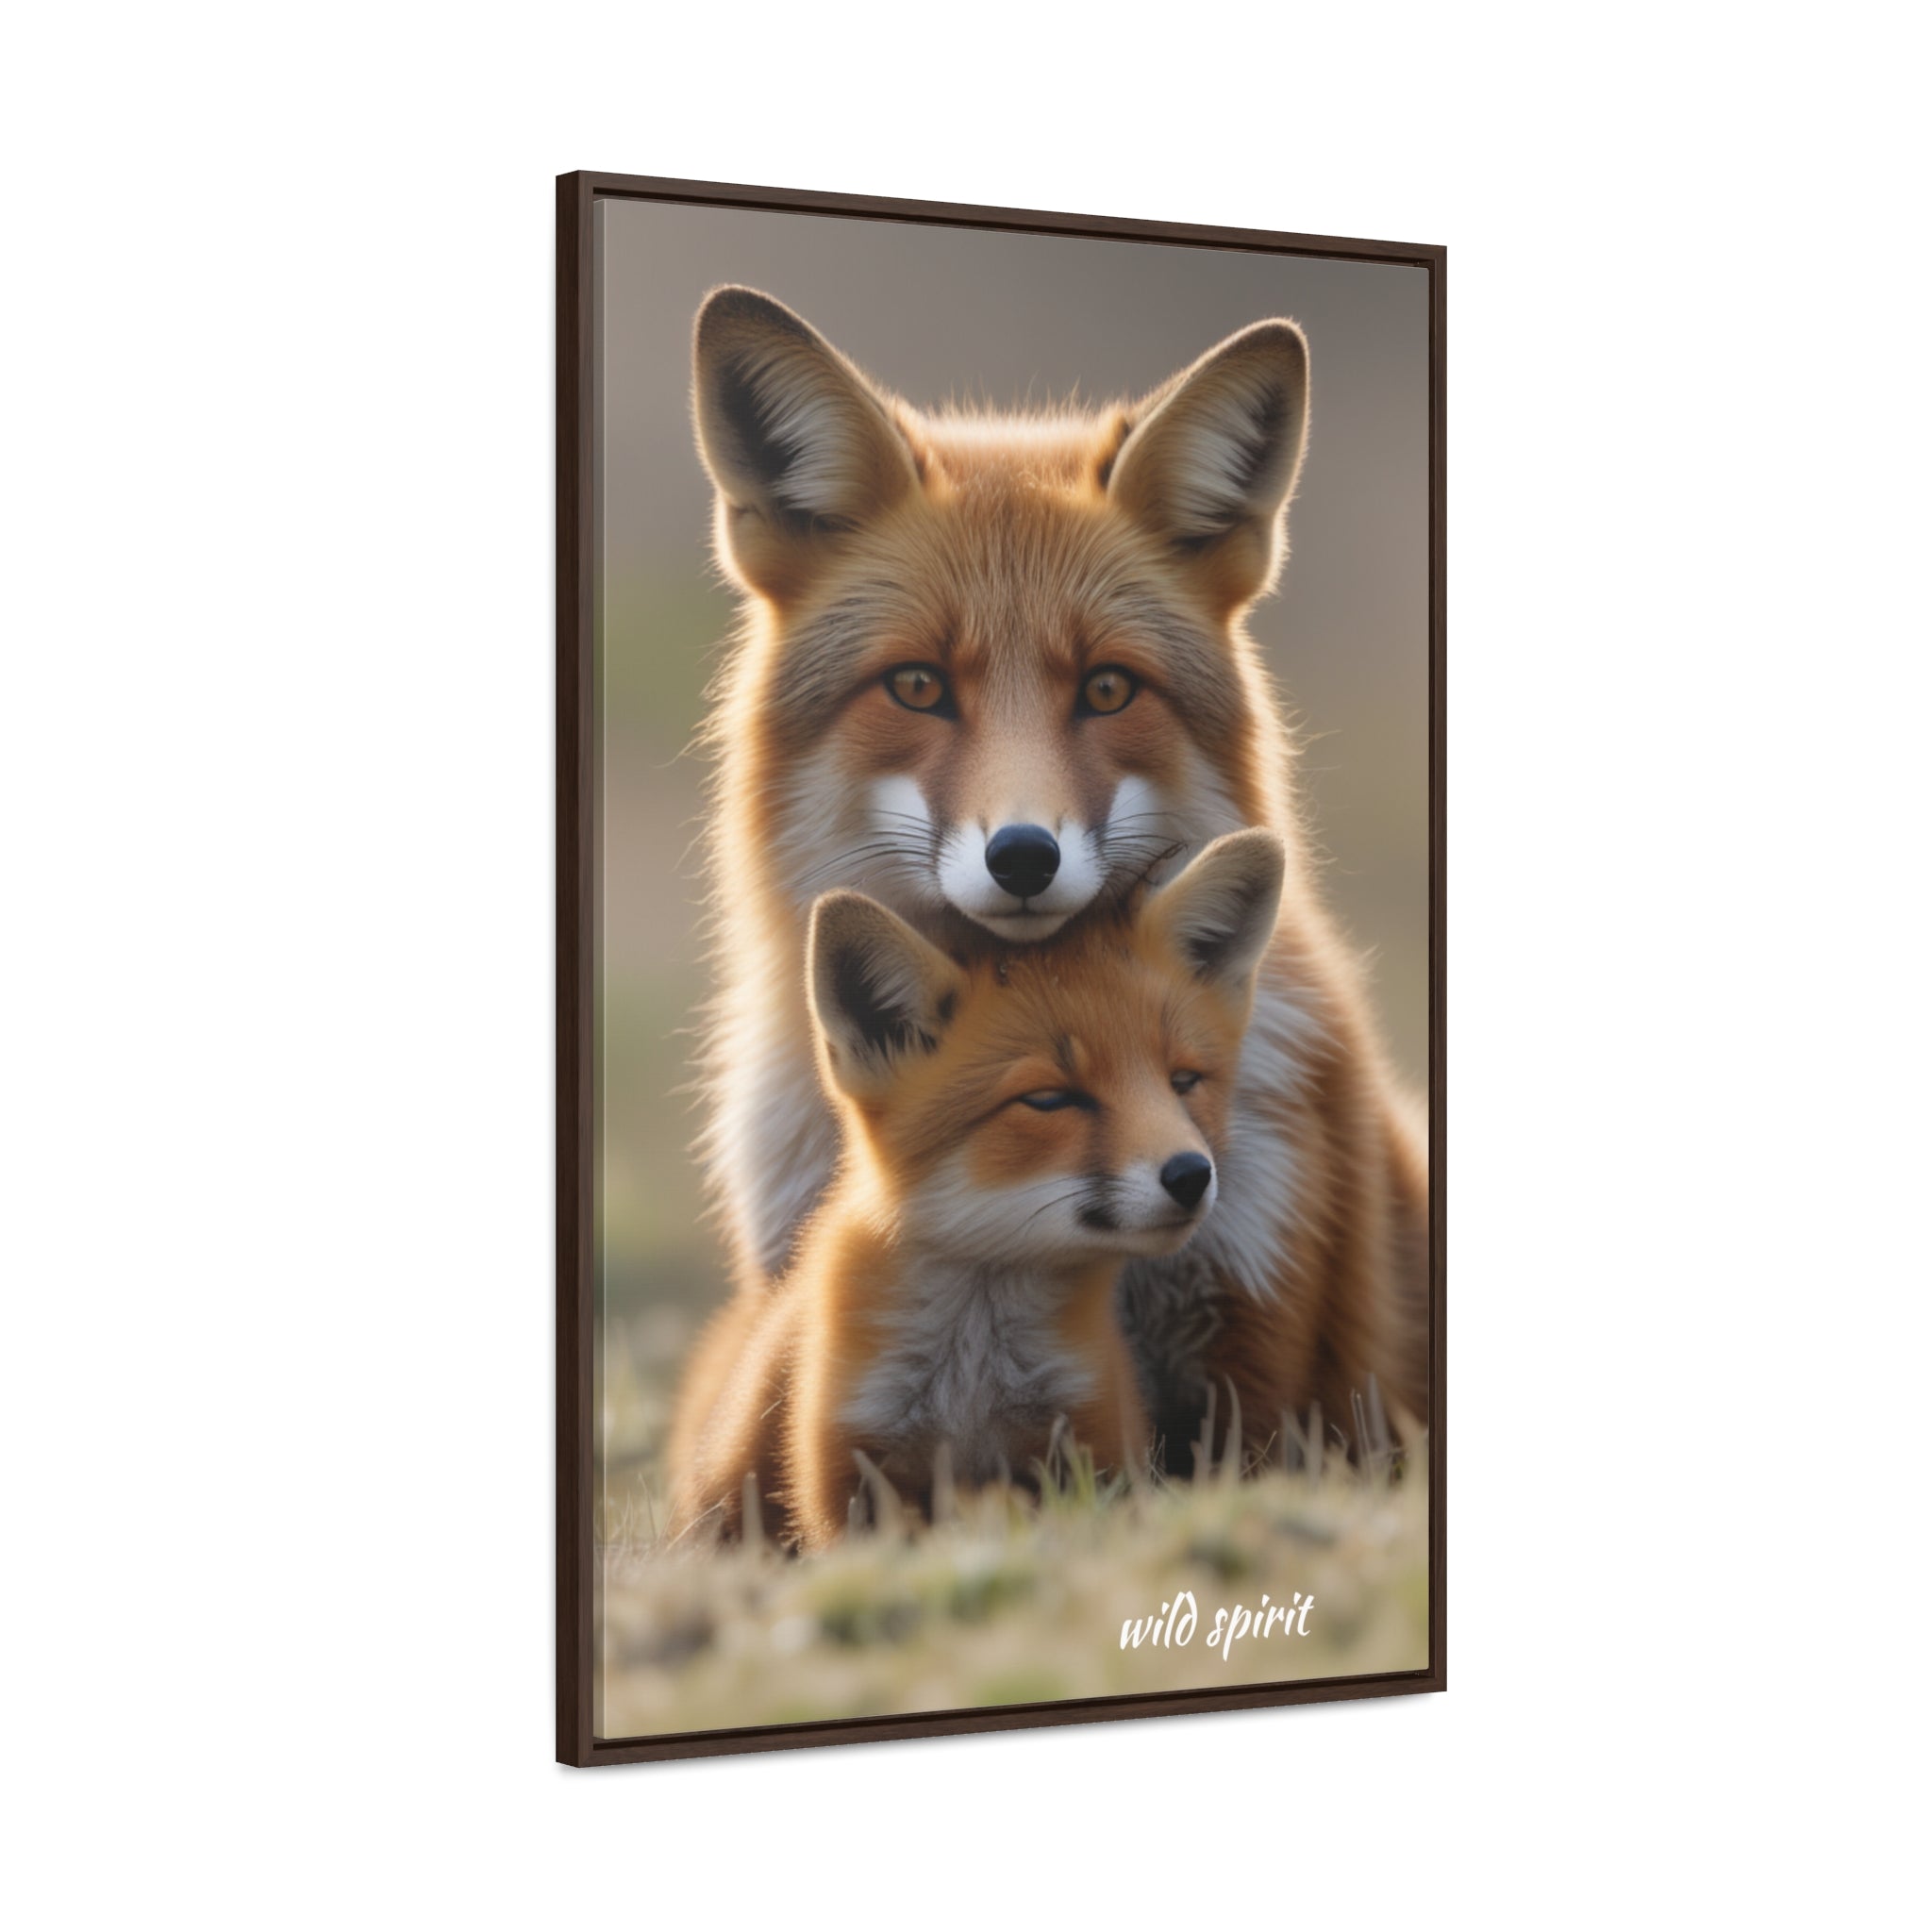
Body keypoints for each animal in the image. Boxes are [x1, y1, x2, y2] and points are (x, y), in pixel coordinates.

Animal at [667, 831, 1286, 1547]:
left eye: (1184, 1082)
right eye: (1049, 1099)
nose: (1191, 1174)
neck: (973, 1379)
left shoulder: (1093, 1442)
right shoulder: (846, 1473)